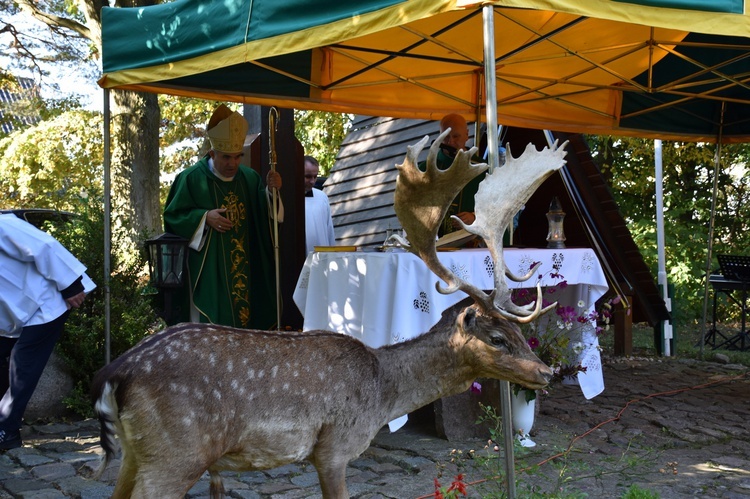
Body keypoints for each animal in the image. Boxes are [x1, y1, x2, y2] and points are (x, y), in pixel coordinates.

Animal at [91, 131, 568, 498]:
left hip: (137, 455)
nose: (547, 372)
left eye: (519, 333)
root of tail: (114, 375)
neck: (382, 392)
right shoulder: (335, 446)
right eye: (497, 339)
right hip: (178, 452)